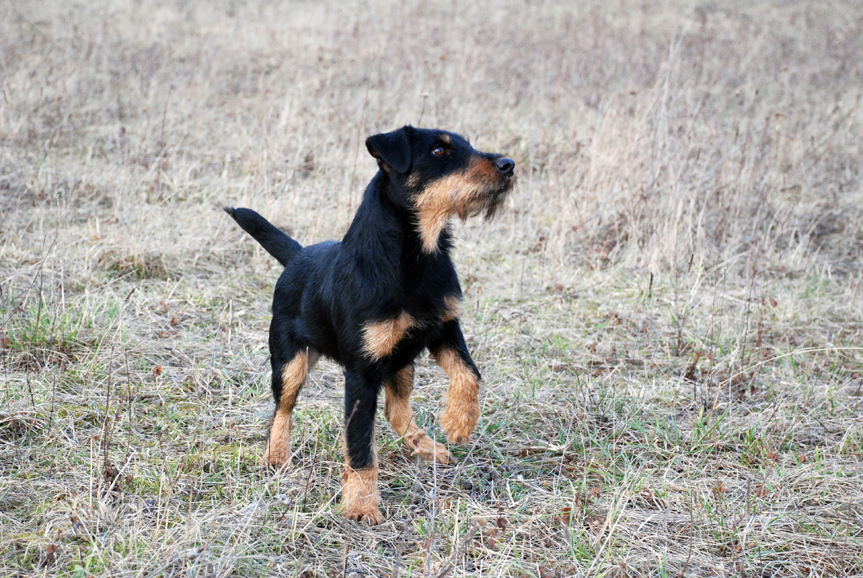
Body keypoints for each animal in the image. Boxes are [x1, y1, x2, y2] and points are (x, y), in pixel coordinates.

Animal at [226, 126, 516, 520]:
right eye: (439, 150)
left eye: (467, 144)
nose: (509, 164)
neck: (415, 256)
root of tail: (298, 256)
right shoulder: (362, 373)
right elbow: (360, 443)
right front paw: (361, 505)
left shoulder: (444, 329)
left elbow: (469, 372)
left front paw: (459, 420)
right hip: (290, 363)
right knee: (281, 410)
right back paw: (275, 456)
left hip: (401, 363)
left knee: (396, 410)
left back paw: (425, 444)